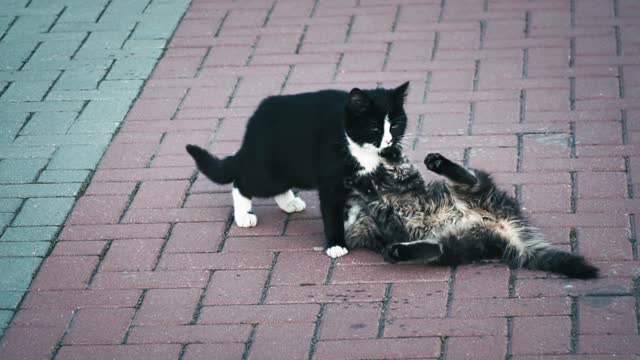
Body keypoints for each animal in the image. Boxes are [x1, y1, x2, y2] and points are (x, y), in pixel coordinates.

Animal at [186, 81, 410, 258]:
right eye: (374, 128)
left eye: (395, 126)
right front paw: (336, 244)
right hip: (267, 173)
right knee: (242, 181)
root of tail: (255, 121)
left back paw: (289, 203)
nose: (389, 141)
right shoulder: (330, 182)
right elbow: (332, 211)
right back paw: (243, 216)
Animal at [344, 149, 600, 278]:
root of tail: (500, 223)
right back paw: (397, 251)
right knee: (436, 249)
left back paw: (438, 163)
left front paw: (382, 160)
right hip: (461, 243)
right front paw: (363, 185)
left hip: (473, 193)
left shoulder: (406, 184)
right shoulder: (386, 223)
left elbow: (399, 170)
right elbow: (378, 202)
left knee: (470, 178)